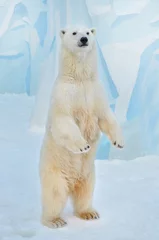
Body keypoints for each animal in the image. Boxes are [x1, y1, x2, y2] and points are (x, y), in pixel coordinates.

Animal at [39, 26, 123, 229]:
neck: (79, 78)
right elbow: (63, 120)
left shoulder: (95, 92)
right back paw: (54, 220)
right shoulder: (64, 94)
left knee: (85, 192)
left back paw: (89, 213)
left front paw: (119, 141)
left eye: (88, 32)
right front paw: (83, 145)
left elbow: (106, 116)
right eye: (74, 33)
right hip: (54, 170)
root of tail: (72, 183)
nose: (84, 39)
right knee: (54, 194)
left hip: (89, 174)